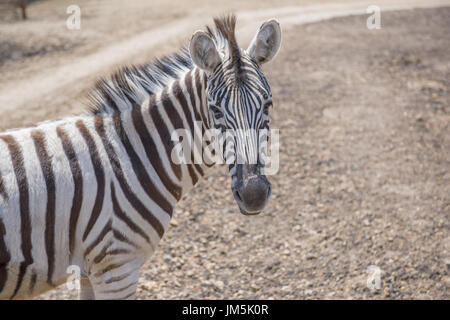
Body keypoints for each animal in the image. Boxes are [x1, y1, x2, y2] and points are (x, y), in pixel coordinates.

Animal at [0, 14, 282, 300]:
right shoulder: (116, 269)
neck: (131, 152)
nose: (254, 195)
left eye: (268, 104)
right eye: (215, 110)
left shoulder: (89, 272)